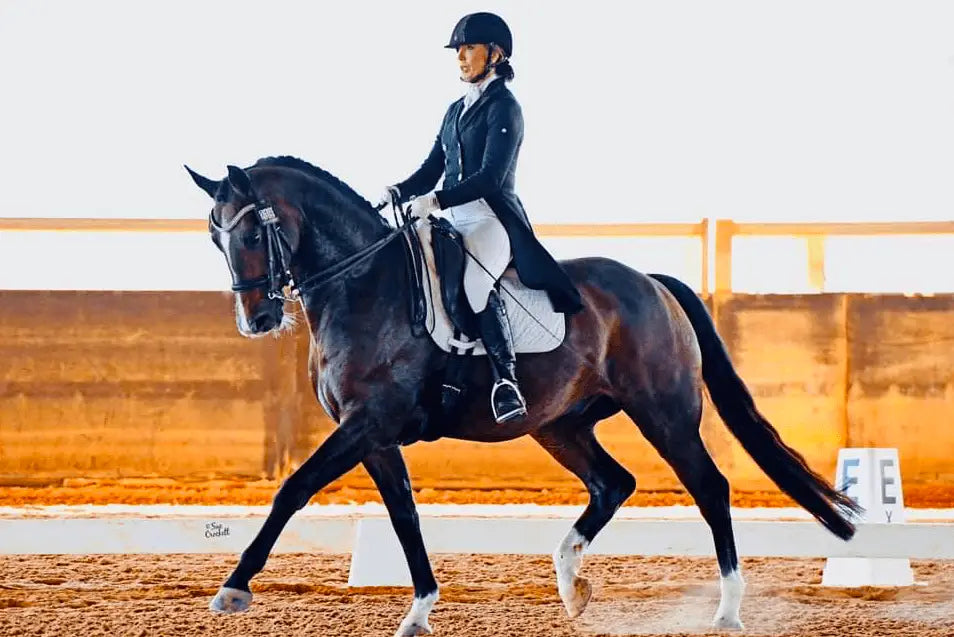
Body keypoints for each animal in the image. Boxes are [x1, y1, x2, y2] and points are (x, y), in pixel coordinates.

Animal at [185, 156, 859, 636]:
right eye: (216, 239)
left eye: (252, 233)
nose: (257, 320)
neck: (363, 287)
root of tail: (653, 283)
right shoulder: (373, 435)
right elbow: (403, 514)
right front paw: (419, 611)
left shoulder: (367, 423)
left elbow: (293, 488)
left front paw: (233, 589)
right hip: (558, 424)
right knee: (613, 483)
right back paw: (571, 586)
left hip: (664, 415)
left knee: (710, 489)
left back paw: (728, 610)